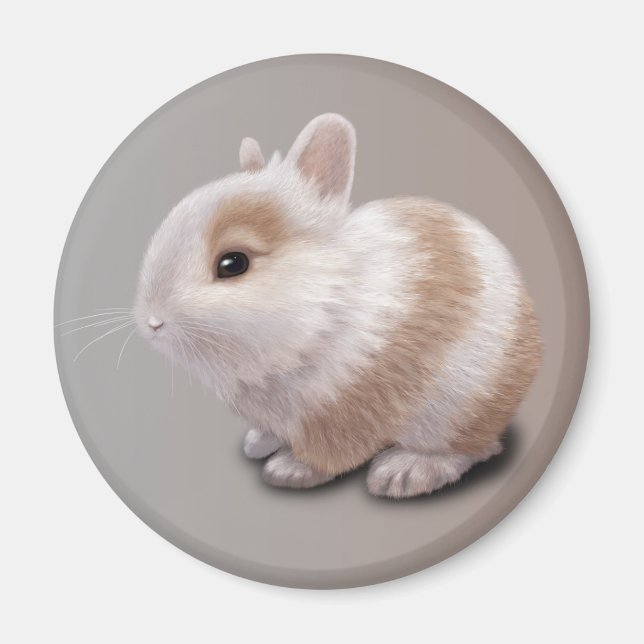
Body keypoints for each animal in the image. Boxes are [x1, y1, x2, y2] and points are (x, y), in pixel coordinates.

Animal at [134, 113, 542, 498]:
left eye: (233, 264)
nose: (152, 323)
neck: (324, 308)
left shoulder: (346, 409)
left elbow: (330, 453)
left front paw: (290, 470)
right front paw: (258, 444)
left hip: (458, 411)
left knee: (470, 448)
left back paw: (404, 473)